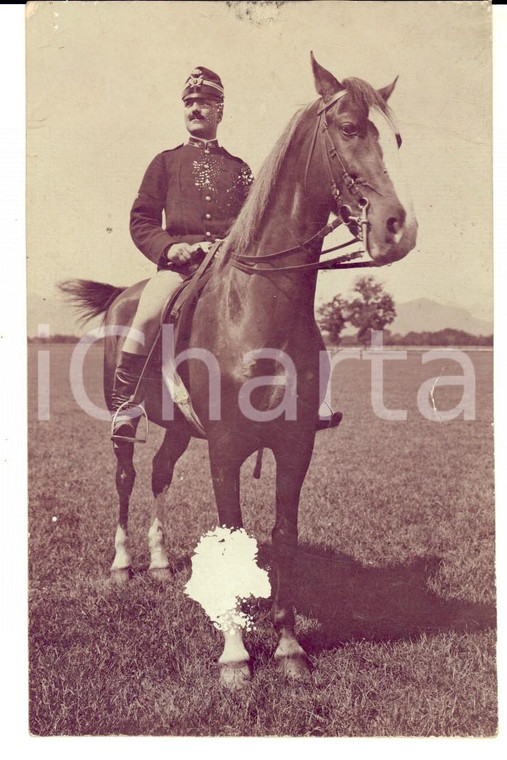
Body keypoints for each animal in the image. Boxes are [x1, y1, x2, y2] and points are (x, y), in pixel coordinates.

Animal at [62, 53, 416, 684]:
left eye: (395, 137)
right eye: (350, 128)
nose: (398, 227)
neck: (255, 312)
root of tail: (121, 296)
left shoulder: (295, 445)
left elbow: (282, 535)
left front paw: (289, 646)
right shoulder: (226, 447)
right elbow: (232, 535)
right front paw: (234, 654)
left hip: (179, 428)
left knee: (159, 473)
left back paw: (160, 563)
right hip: (126, 417)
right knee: (126, 475)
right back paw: (124, 564)